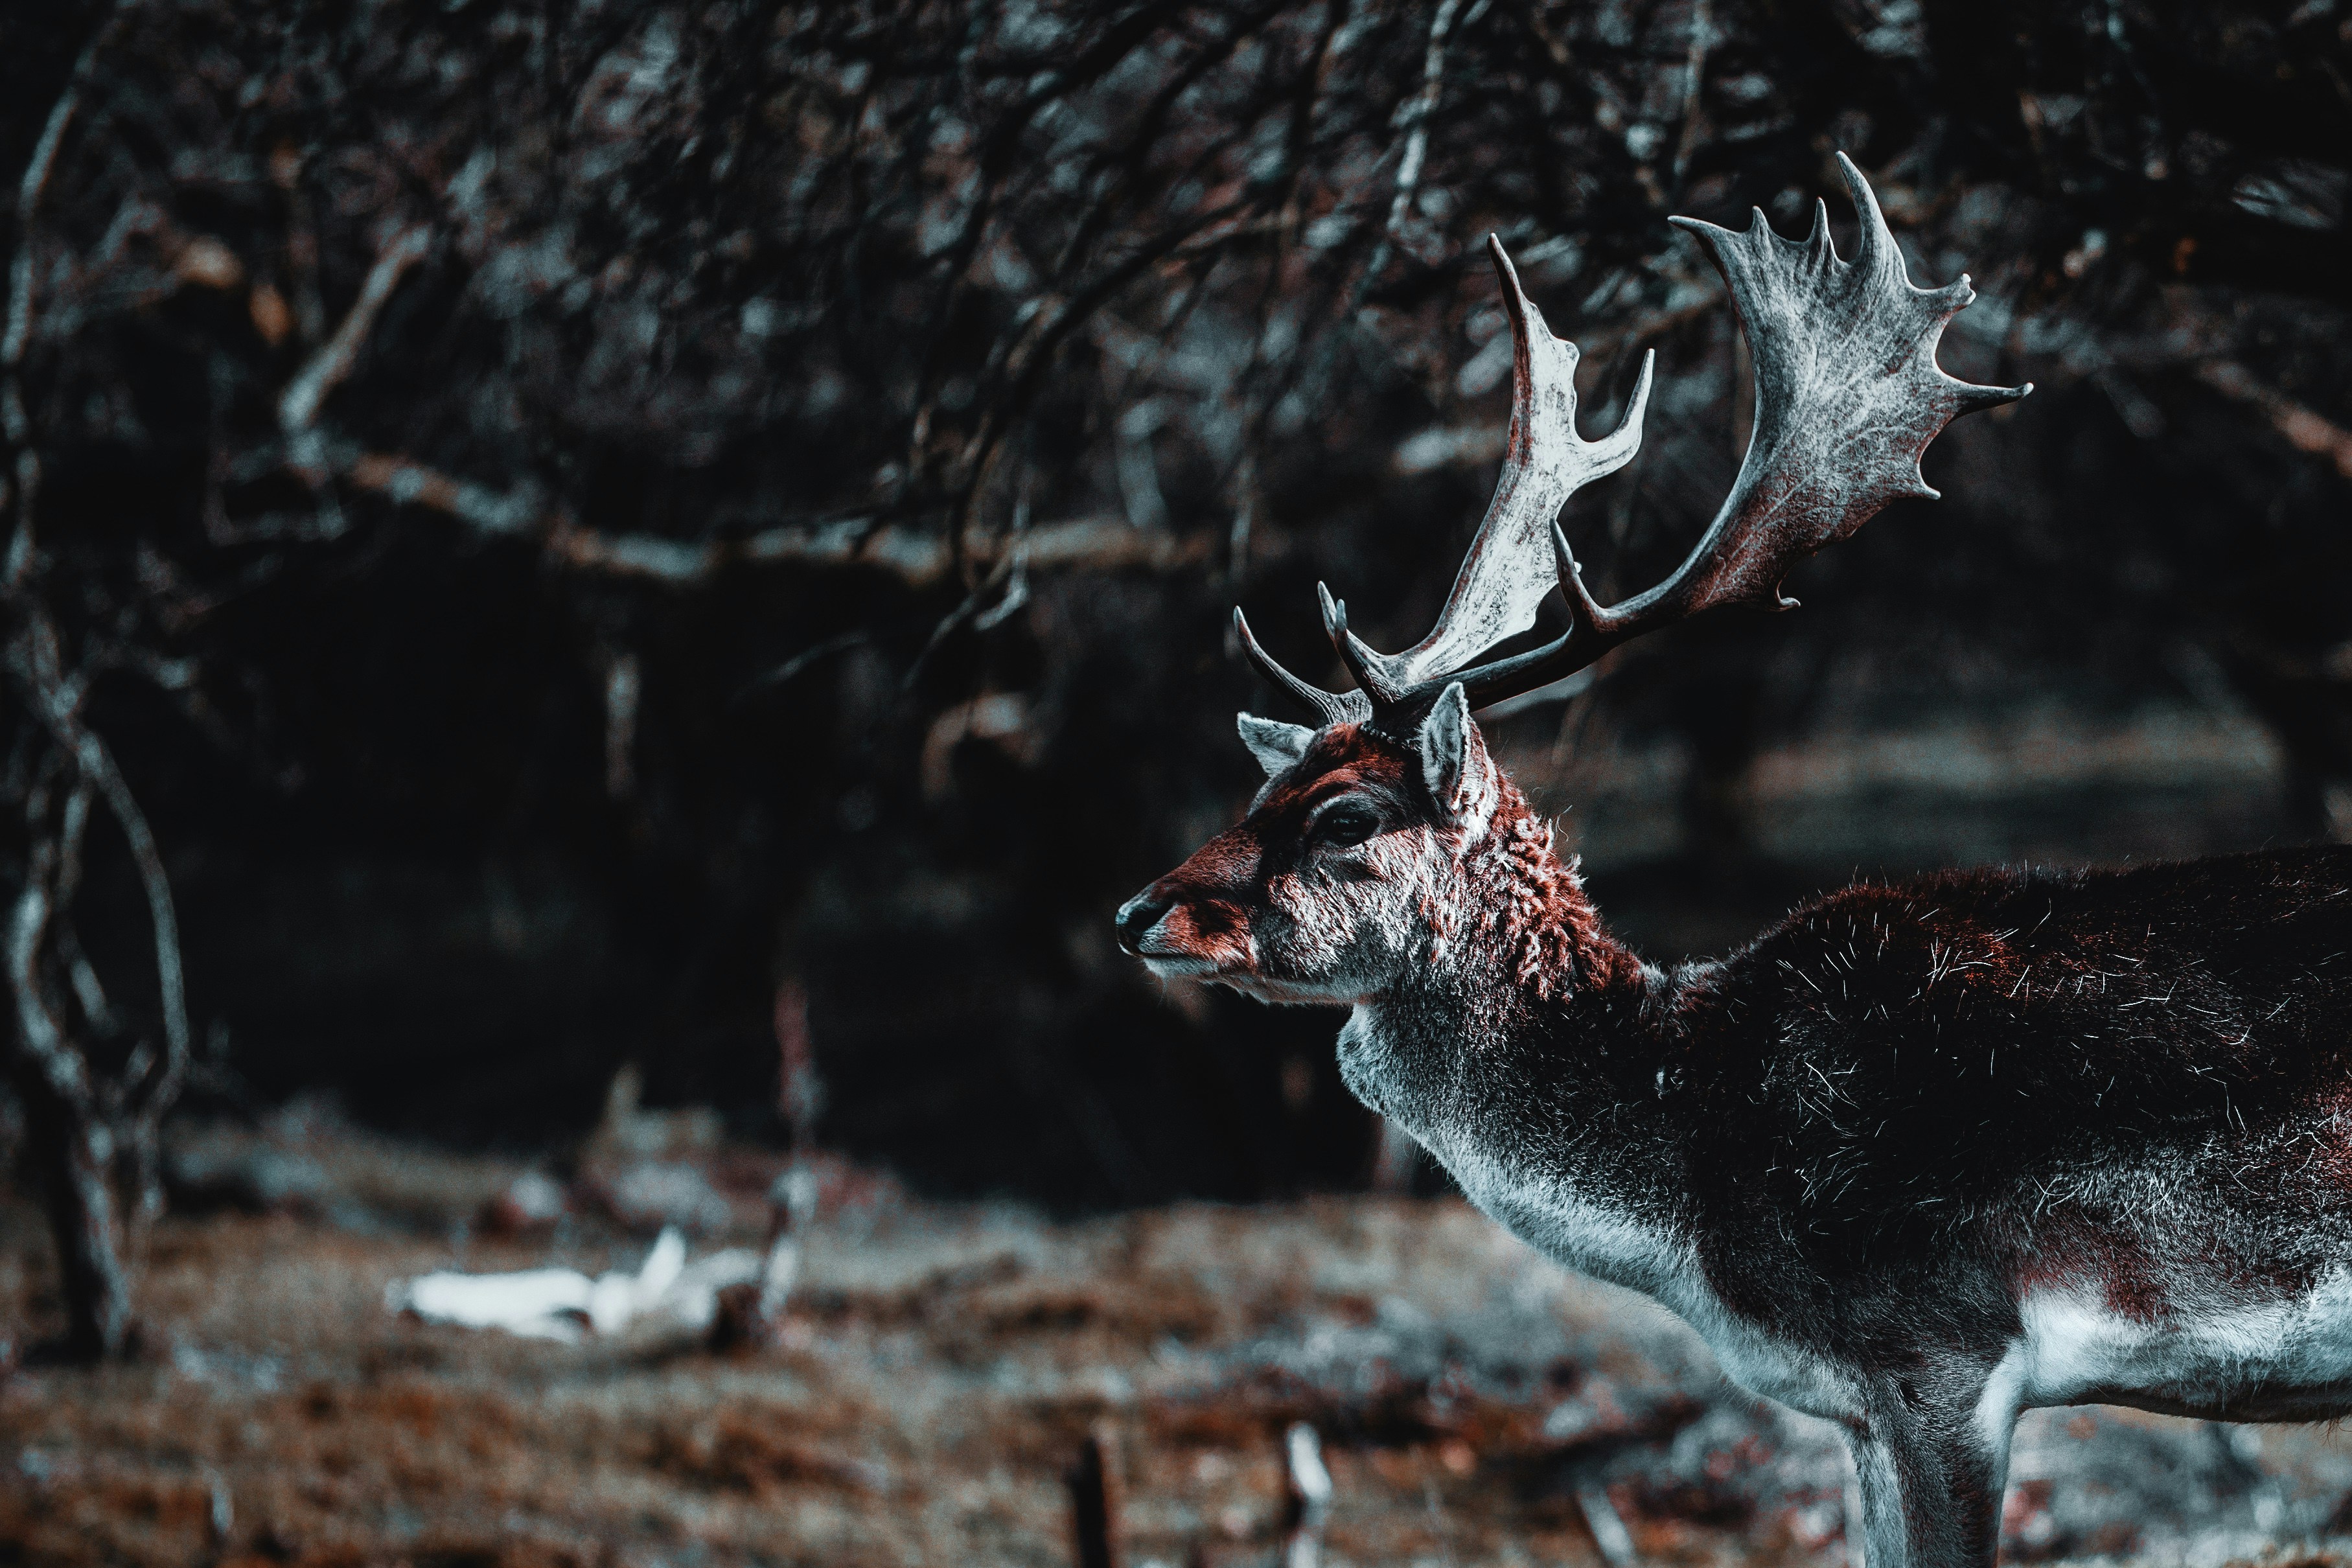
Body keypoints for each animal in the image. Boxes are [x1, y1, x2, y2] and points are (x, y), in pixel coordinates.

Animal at [1115, 154, 2352, 1568]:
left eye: (1343, 820)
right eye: (1262, 785)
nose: (1138, 910)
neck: (1701, 1196)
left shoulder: (1940, 1351)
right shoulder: (1857, 1408)